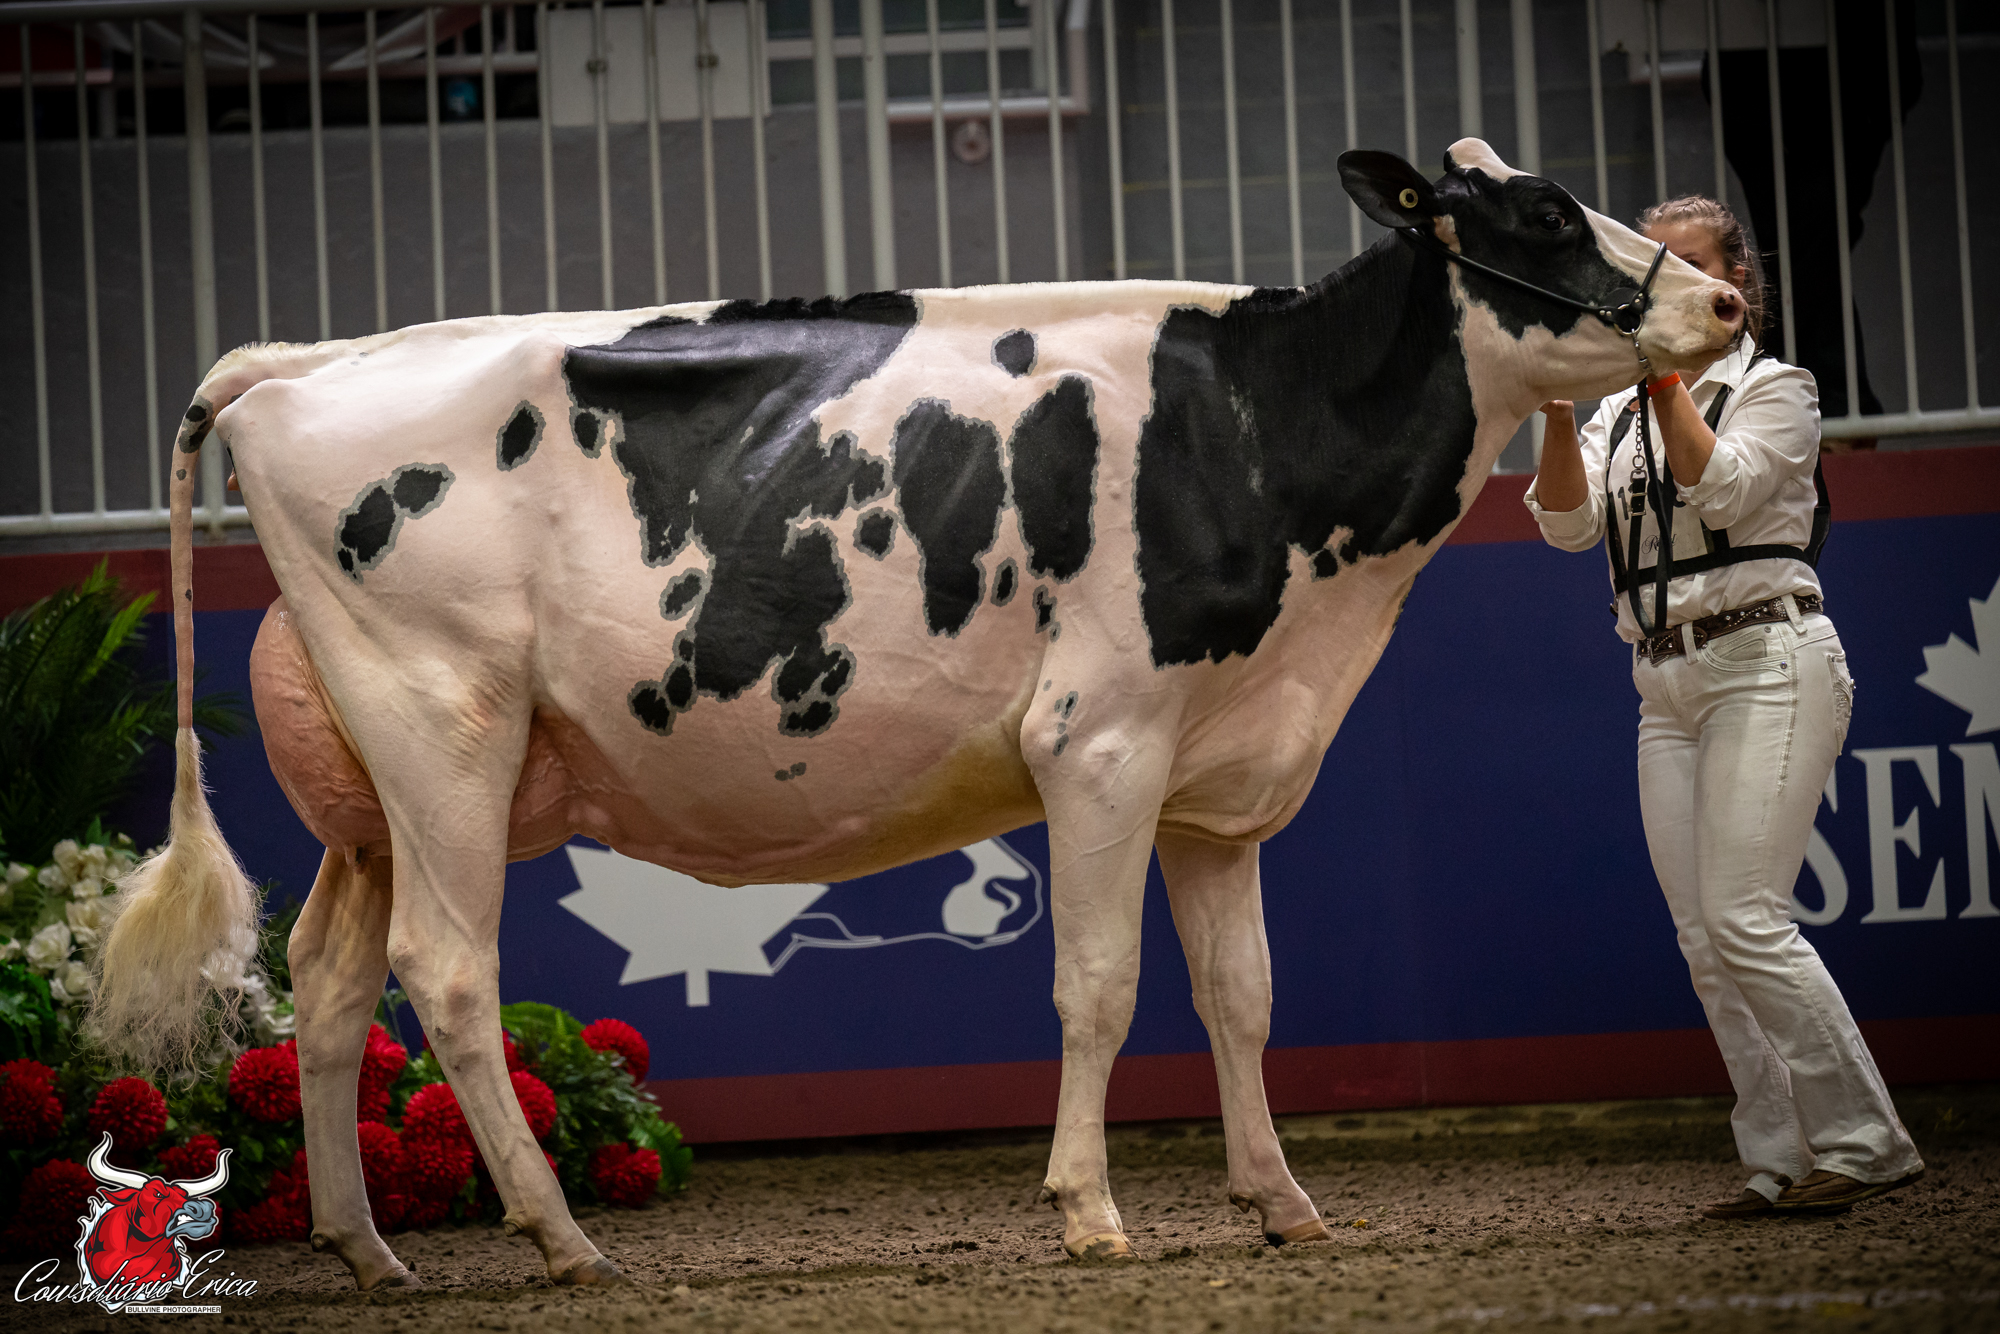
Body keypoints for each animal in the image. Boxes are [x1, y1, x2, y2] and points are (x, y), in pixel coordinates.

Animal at [92, 140, 1743, 1289]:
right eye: (1542, 219)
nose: (1726, 295)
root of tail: (303, 361)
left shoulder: (1219, 775)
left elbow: (1244, 994)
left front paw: (1284, 1202)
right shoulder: (1100, 740)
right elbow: (1099, 986)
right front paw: (1089, 1210)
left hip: (369, 789)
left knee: (325, 979)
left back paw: (373, 1249)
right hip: (449, 729)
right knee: (446, 970)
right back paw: (561, 1236)